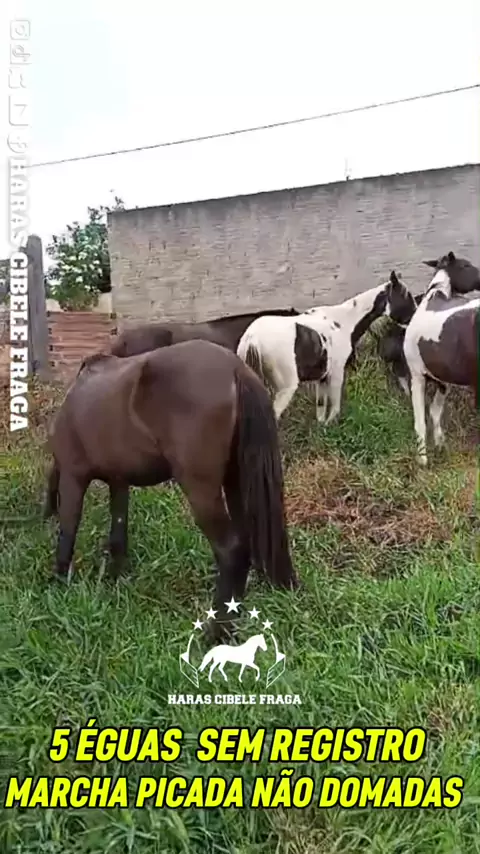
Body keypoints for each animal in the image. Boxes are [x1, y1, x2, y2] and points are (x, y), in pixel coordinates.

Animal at [44, 340, 297, 637]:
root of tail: (237, 369)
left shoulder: (73, 477)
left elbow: (68, 531)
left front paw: (58, 582)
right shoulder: (118, 480)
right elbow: (118, 530)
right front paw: (114, 577)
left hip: (201, 489)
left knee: (230, 549)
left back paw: (216, 631)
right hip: (235, 482)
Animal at [236, 272, 417, 422]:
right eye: (407, 297)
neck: (345, 321)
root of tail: (252, 338)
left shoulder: (321, 377)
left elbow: (321, 407)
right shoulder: (336, 372)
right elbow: (335, 406)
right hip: (285, 387)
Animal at [403, 255, 480, 465]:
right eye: (466, 265)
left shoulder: (424, 379)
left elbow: (425, 417)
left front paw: (425, 457)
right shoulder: (432, 379)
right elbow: (431, 414)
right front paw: (435, 449)